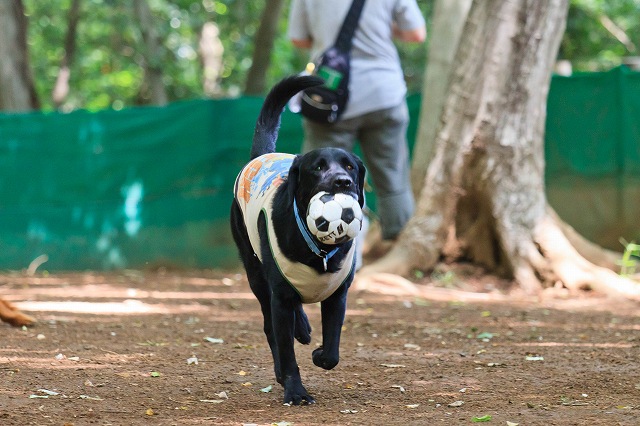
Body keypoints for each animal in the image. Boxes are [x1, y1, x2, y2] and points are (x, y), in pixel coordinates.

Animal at [230, 75, 364, 404]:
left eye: (350, 166)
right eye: (318, 167)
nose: (343, 182)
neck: (320, 250)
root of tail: (260, 156)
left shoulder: (337, 295)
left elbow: (332, 352)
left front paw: (319, 354)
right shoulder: (279, 297)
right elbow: (285, 348)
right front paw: (295, 391)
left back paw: (302, 328)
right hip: (255, 273)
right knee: (270, 326)